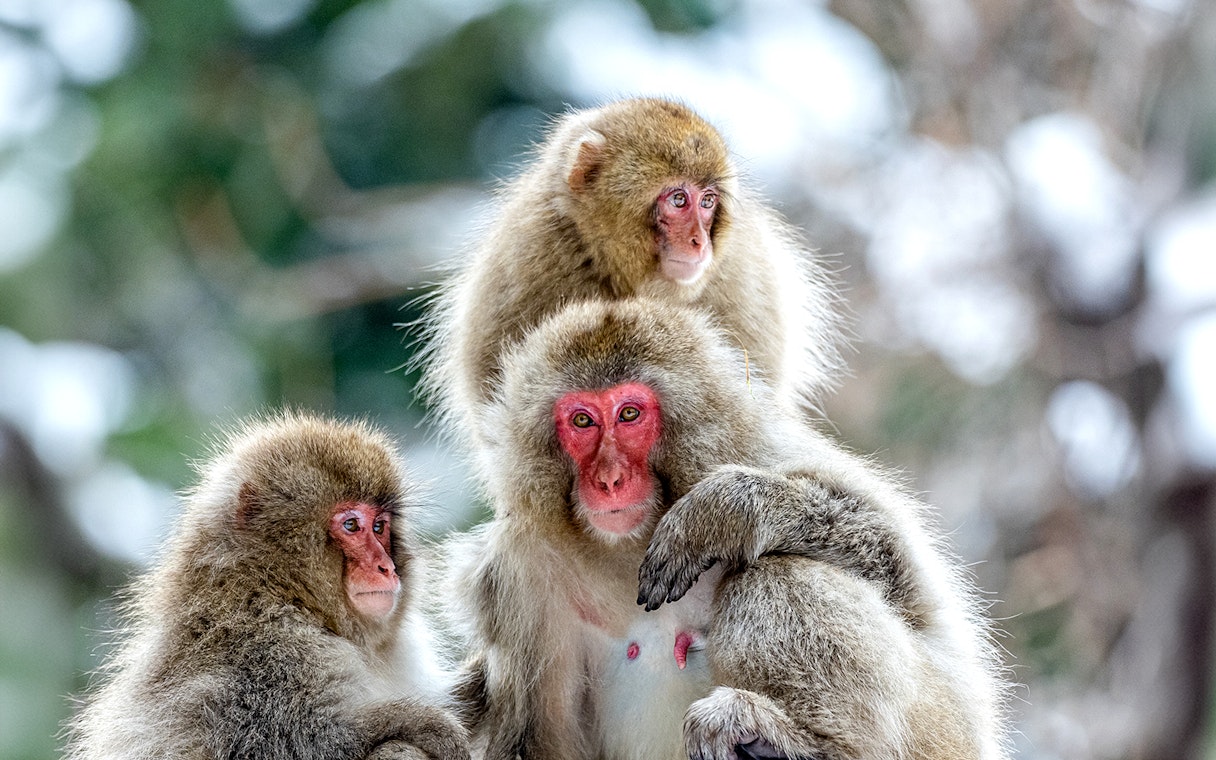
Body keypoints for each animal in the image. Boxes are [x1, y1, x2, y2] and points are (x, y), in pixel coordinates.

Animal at [63, 412, 470, 760]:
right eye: (352, 525)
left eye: (380, 526)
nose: (386, 567)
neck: (274, 588)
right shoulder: (270, 653)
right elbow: (295, 742)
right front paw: (420, 723)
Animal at [444, 298, 1008, 760]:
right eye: (582, 421)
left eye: (629, 414)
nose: (608, 480)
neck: (626, 547)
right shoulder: (517, 573)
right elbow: (534, 737)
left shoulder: (762, 450)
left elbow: (904, 578)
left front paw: (719, 515)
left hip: (941, 732)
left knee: (777, 575)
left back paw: (802, 742)